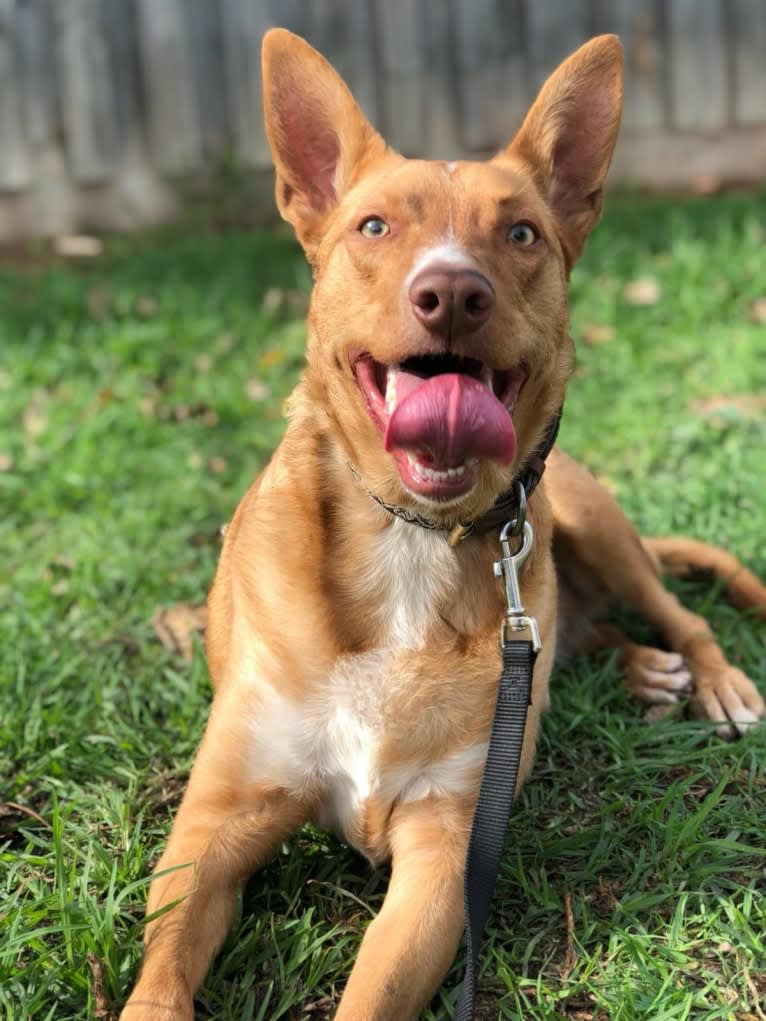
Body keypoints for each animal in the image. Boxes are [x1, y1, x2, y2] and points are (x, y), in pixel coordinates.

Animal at [121, 27, 766, 1016]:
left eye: (522, 232)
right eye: (374, 227)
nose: (454, 293)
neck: (409, 540)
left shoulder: (442, 852)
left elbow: (370, 995)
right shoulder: (214, 826)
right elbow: (160, 977)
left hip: (592, 524)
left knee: (674, 610)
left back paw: (709, 677)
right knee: (579, 639)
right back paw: (642, 669)